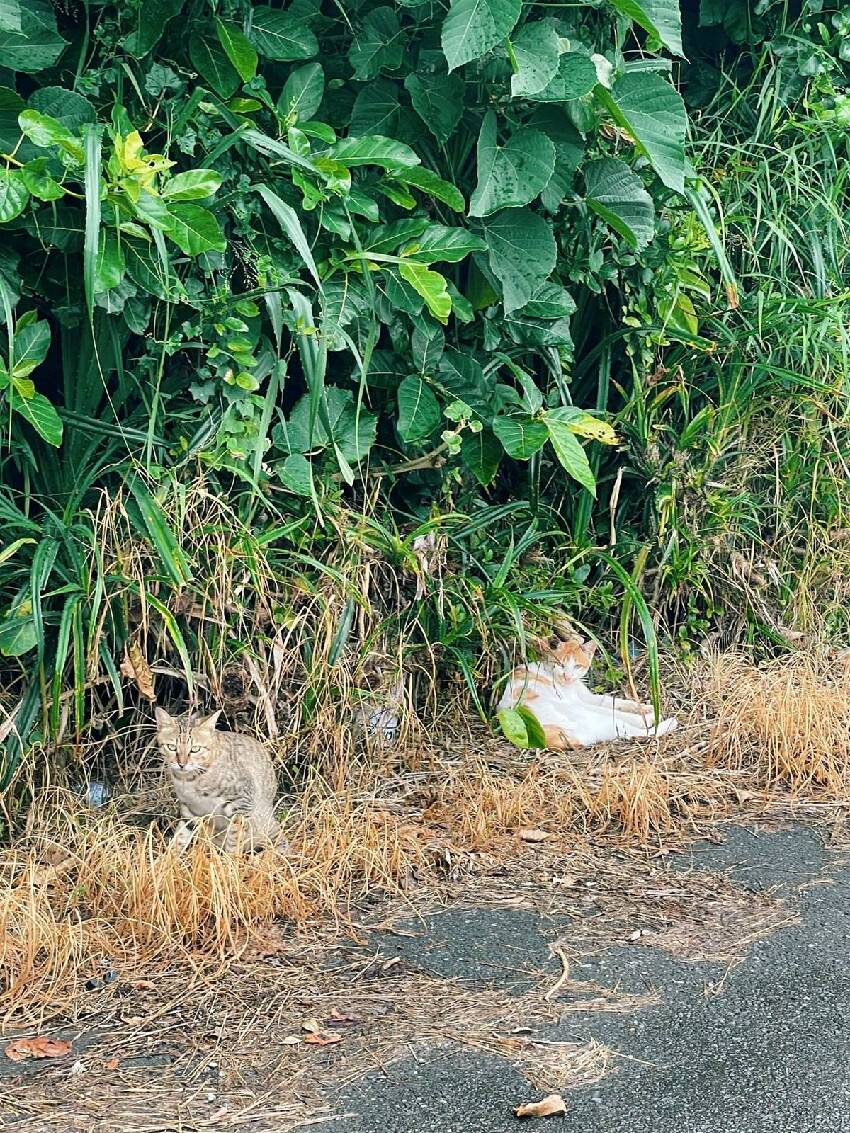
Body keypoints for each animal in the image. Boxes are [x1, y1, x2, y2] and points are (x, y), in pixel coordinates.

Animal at [155, 702, 281, 852]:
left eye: (195, 749)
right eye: (172, 747)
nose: (182, 764)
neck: (189, 780)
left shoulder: (242, 805)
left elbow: (234, 842)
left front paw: (231, 858)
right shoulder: (188, 810)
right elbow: (179, 839)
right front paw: (169, 857)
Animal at [498, 639, 680, 752]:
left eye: (577, 666)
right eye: (560, 664)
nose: (567, 676)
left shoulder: (588, 697)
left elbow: (612, 700)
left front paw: (644, 707)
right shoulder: (579, 702)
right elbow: (614, 709)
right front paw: (647, 714)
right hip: (584, 715)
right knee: (633, 730)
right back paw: (664, 722)